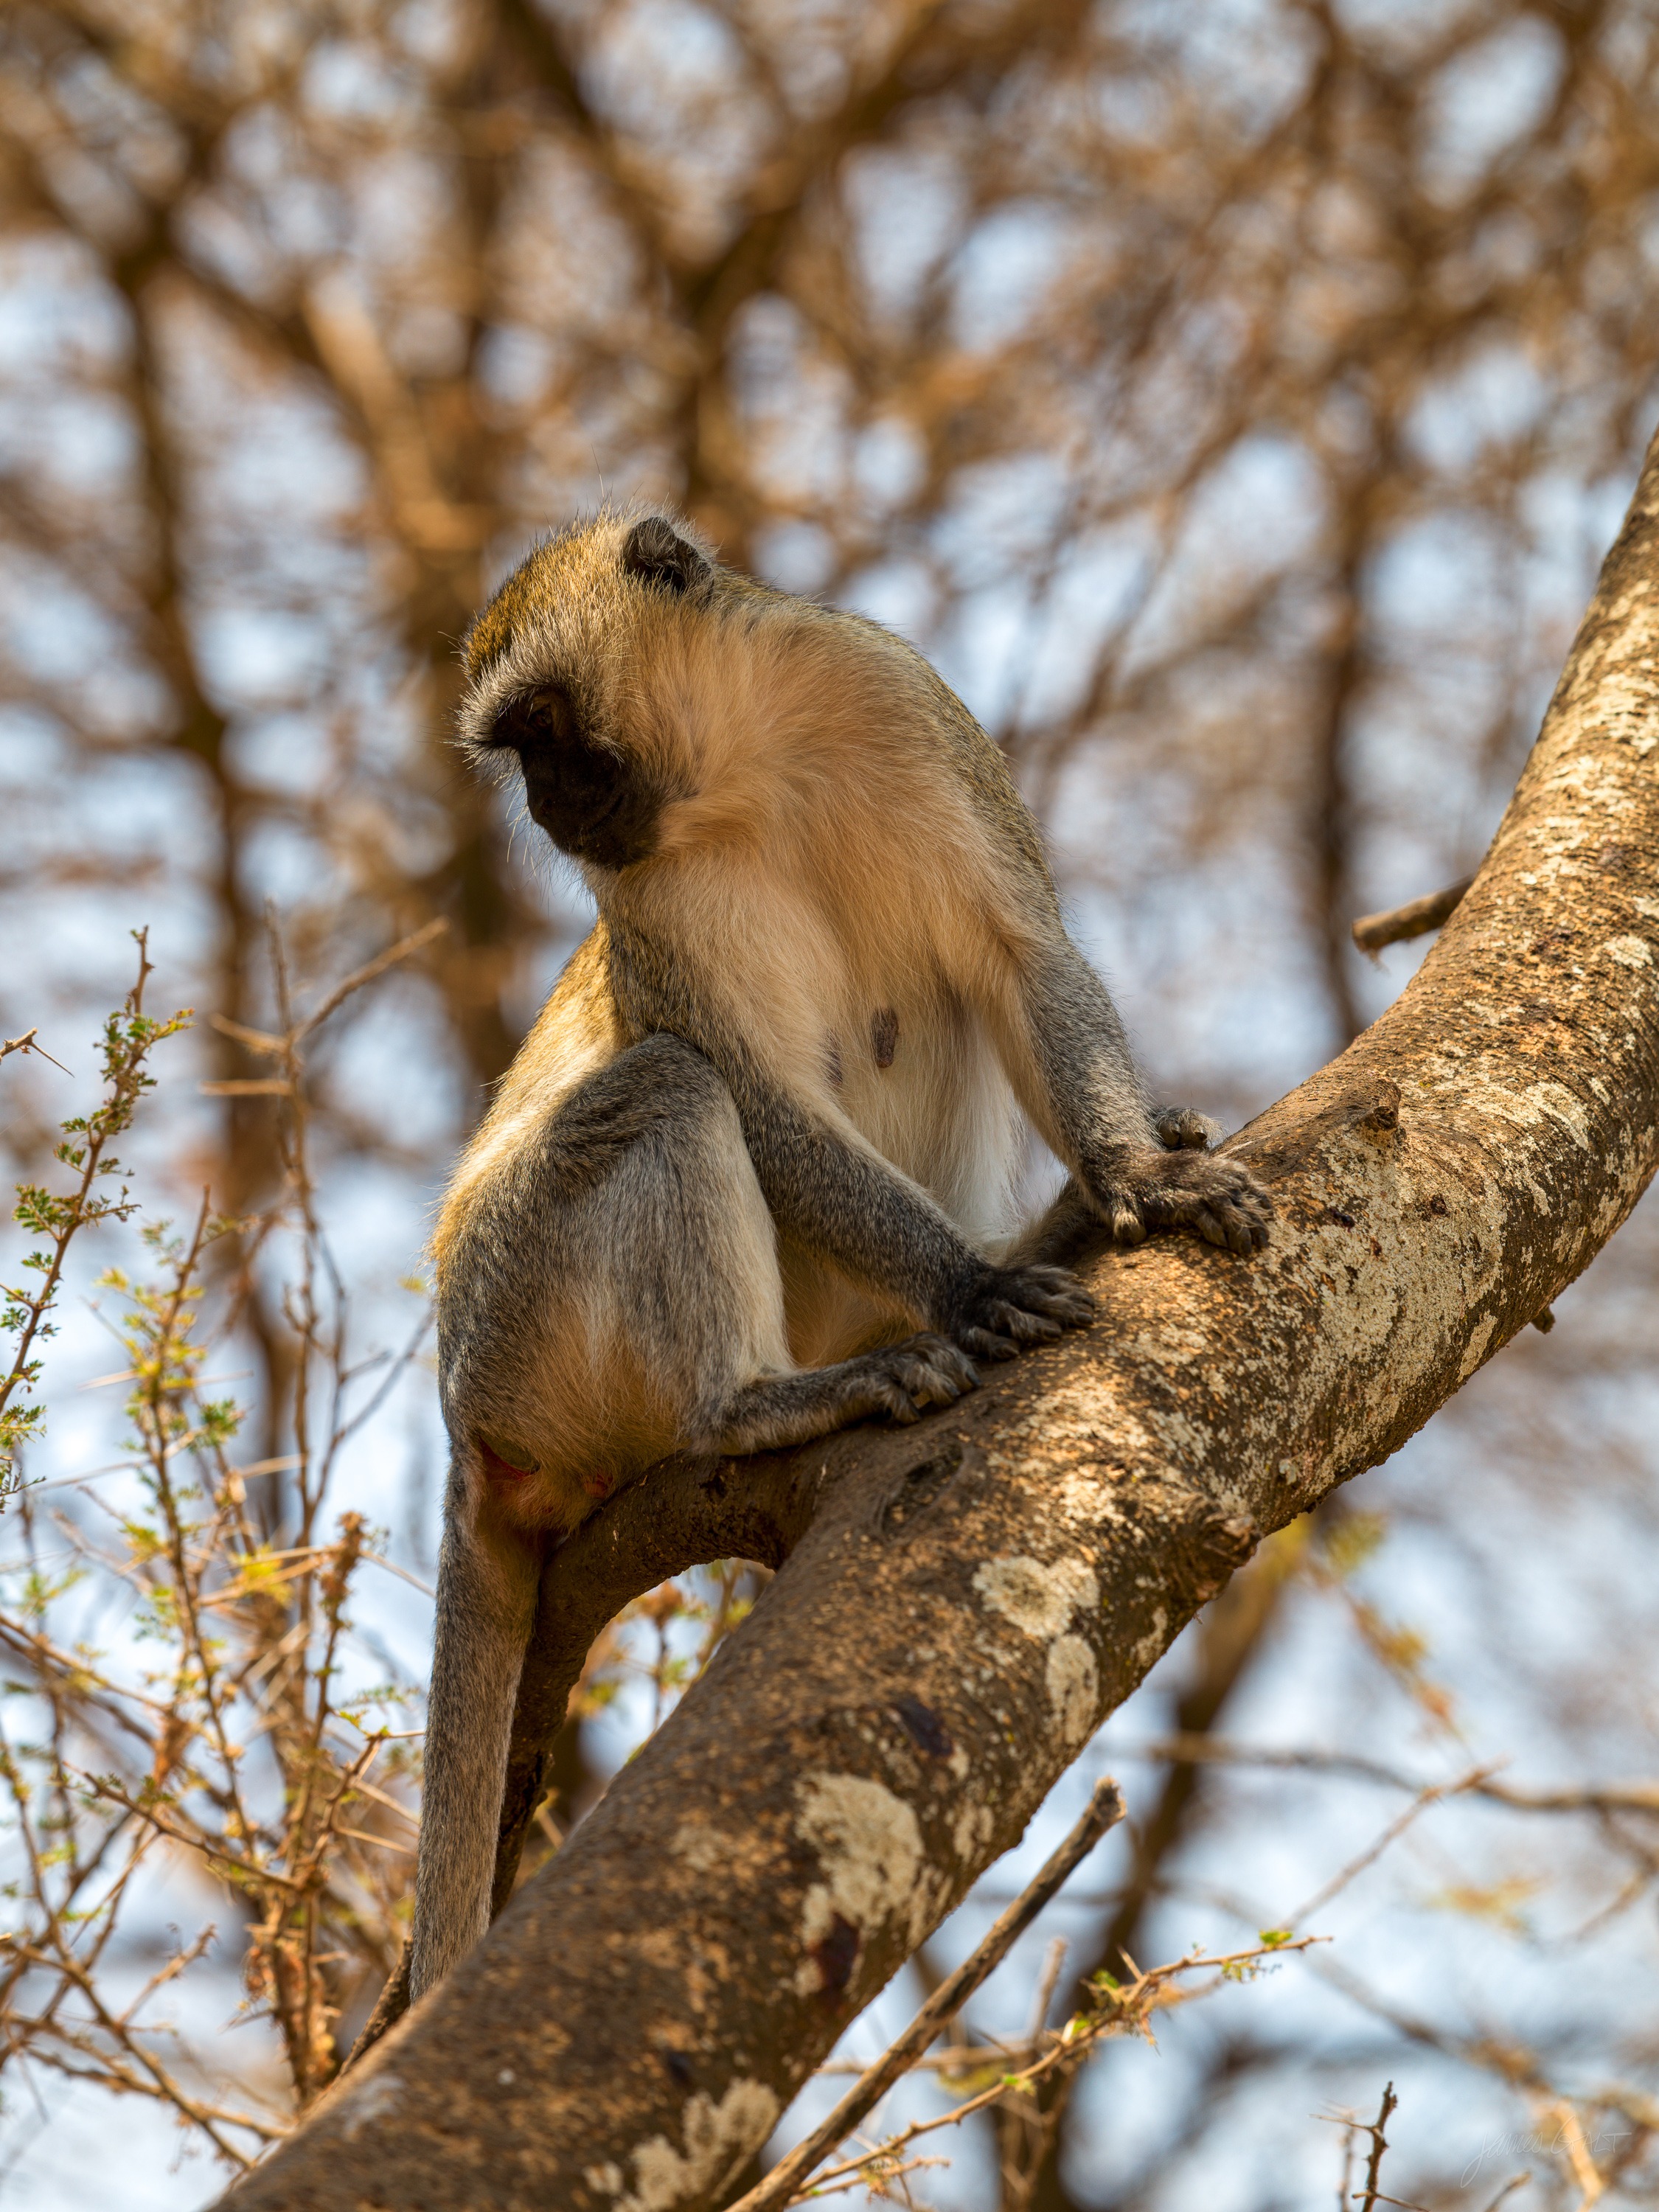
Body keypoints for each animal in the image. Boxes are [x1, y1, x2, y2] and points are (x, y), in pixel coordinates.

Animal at [405, 507, 1271, 2003]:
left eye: (542, 730)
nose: (543, 810)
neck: (744, 764)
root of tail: (467, 1434)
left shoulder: (894, 699)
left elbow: (1014, 953)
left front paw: (1131, 1179)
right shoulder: (645, 895)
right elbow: (751, 1090)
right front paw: (970, 1284)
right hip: (515, 1315)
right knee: (670, 1085)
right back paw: (761, 1398)